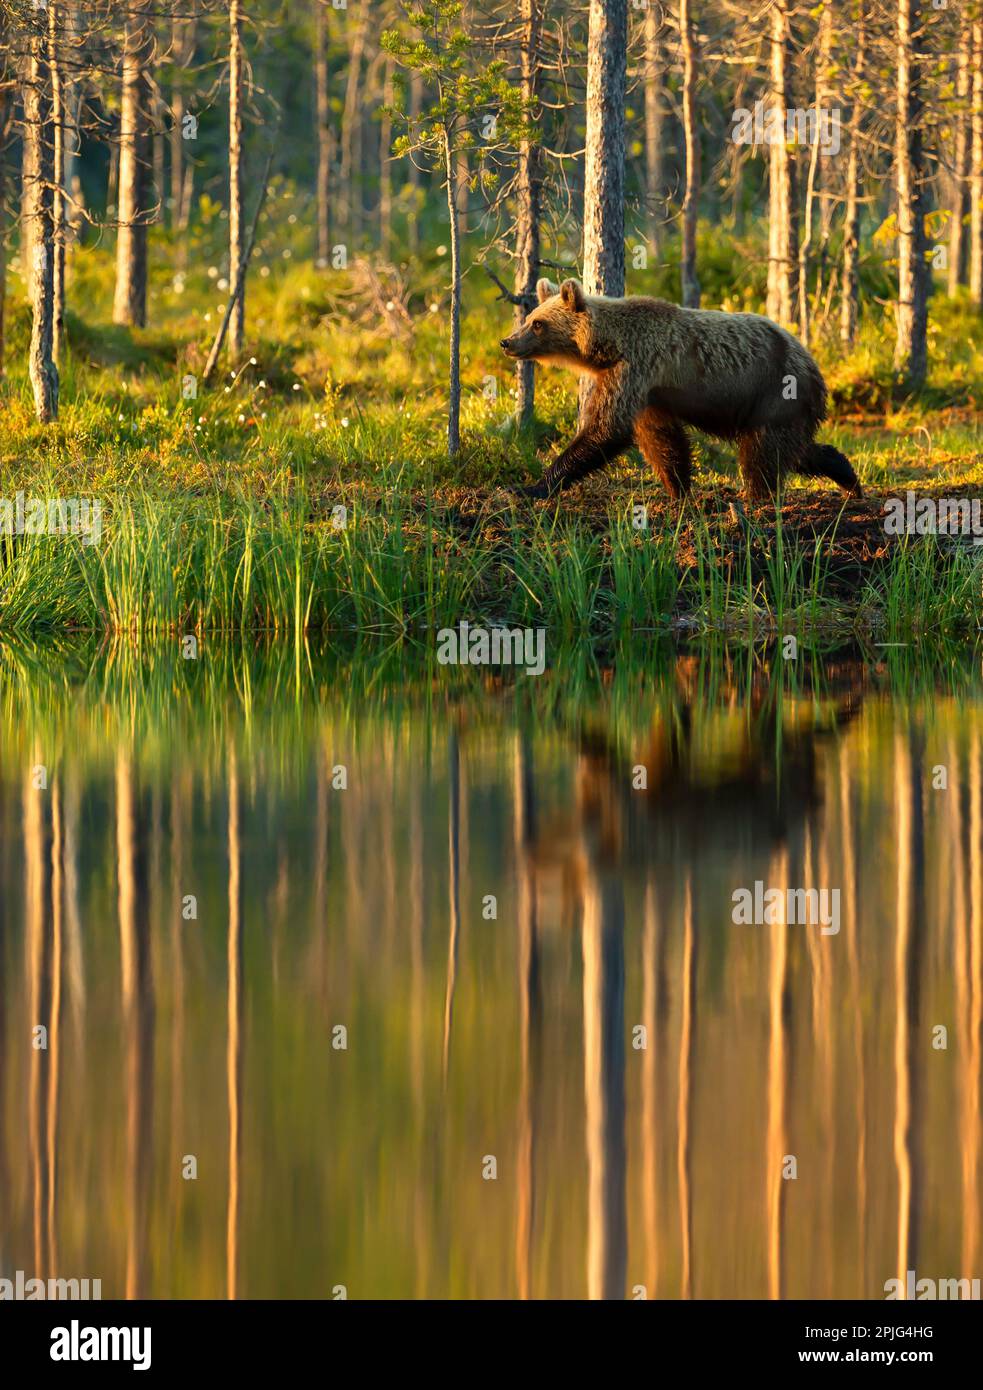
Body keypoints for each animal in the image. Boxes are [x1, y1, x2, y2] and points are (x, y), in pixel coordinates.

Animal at [503, 279, 867, 503]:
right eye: (530, 316)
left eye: (537, 323)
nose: (507, 341)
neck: (608, 348)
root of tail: (813, 364)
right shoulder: (650, 392)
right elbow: (662, 440)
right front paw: (678, 489)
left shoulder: (636, 368)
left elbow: (606, 430)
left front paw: (531, 487)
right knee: (800, 450)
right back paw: (849, 478)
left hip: (776, 391)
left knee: (763, 452)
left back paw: (757, 498)